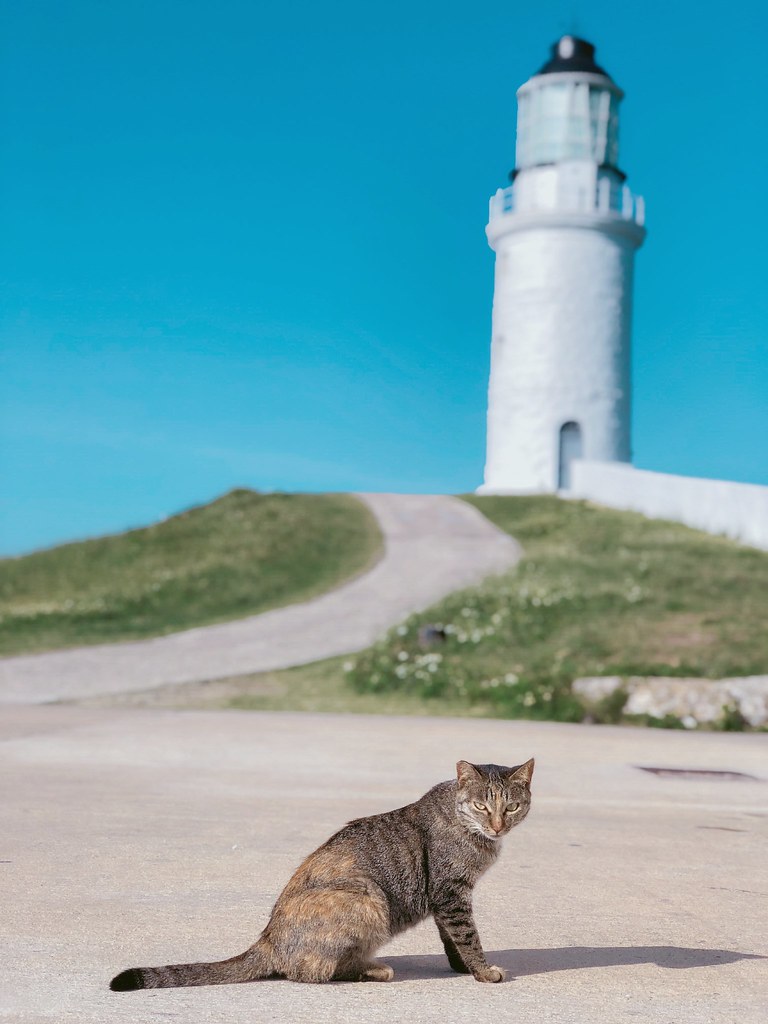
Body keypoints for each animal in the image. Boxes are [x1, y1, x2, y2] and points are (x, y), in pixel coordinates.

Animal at [111, 757, 536, 987]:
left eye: (511, 807)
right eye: (482, 806)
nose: (498, 825)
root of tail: (267, 939)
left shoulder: (446, 896)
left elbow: (452, 939)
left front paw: (462, 968)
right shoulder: (450, 893)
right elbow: (467, 936)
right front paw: (482, 971)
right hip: (368, 898)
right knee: (311, 972)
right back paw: (373, 971)